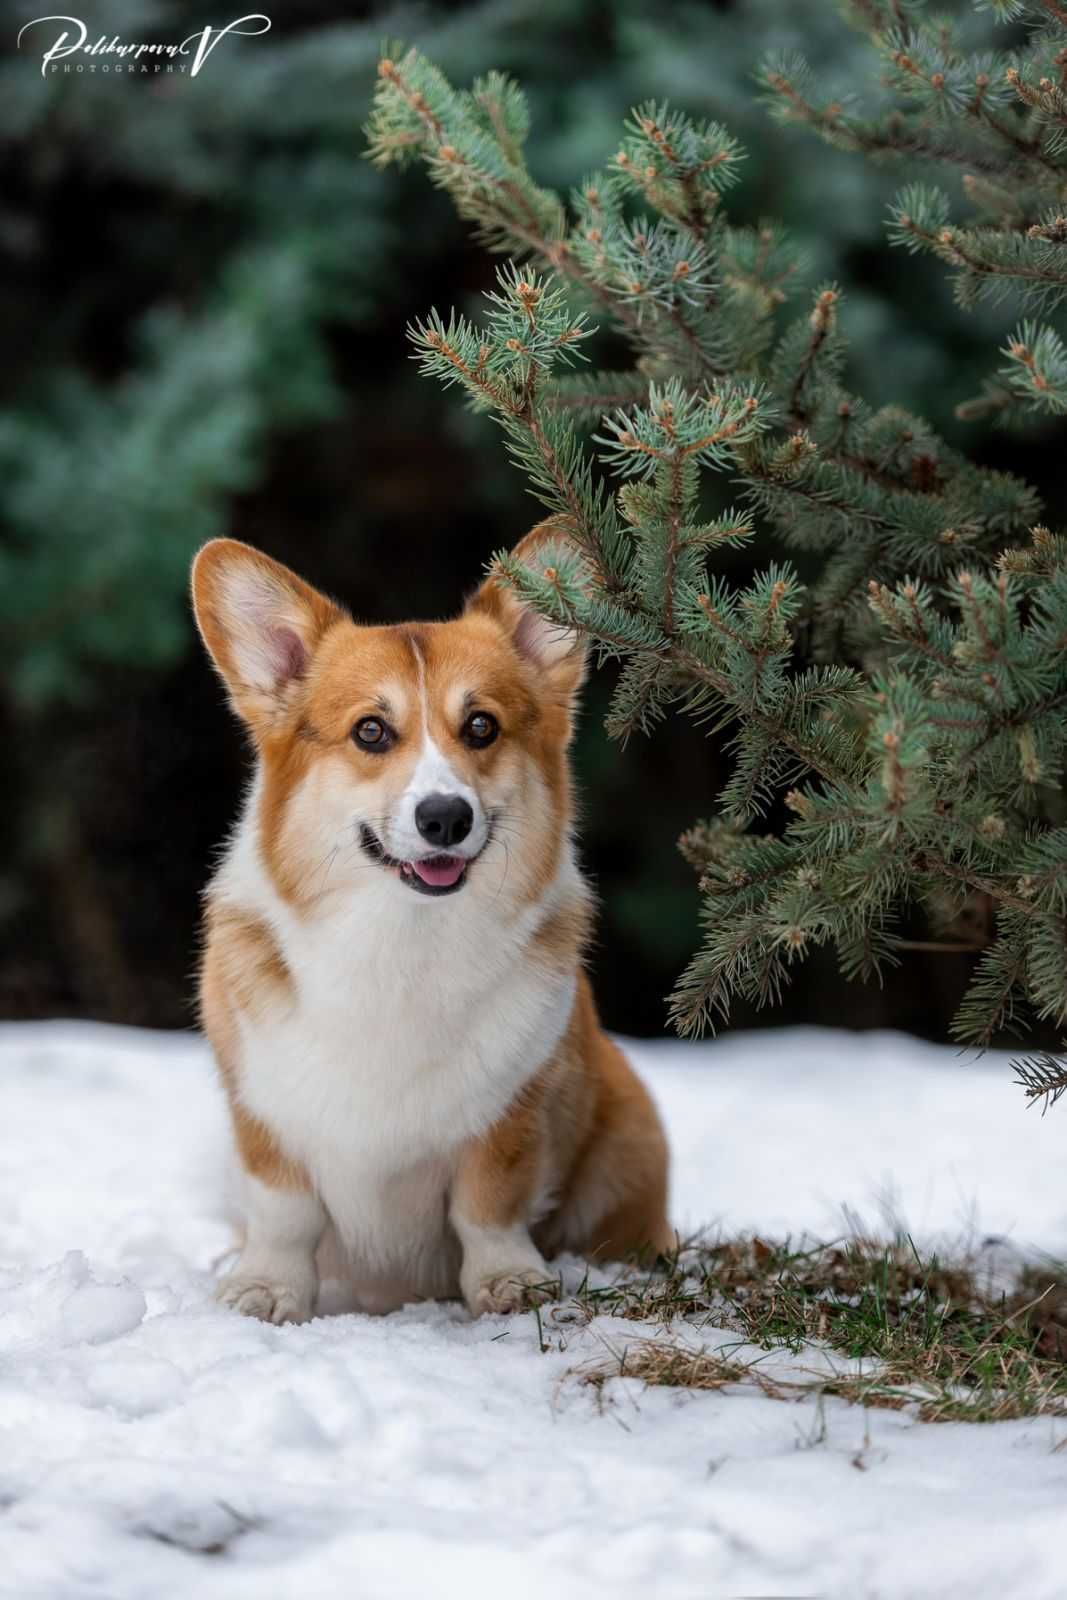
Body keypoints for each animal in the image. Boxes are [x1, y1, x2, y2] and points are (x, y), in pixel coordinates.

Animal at [191, 528, 671, 1324]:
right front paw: (266, 1288)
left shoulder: (509, 1112)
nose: (444, 818)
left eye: (480, 726)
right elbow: (283, 1210)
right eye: (370, 731)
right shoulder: (263, 1110)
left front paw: (509, 1282)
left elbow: (487, 1204)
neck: (402, 938)